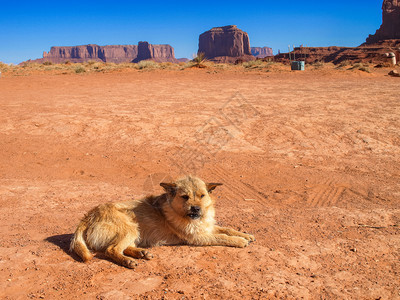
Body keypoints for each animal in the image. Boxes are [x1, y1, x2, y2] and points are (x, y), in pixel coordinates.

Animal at [70, 175, 255, 268]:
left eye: (202, 195)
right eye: (185, 197)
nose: (196, 209)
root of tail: (88, 216)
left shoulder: (207, 228)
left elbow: (227, 229)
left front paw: (245, 234)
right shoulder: (198, 238)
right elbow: (223, 237)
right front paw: (240, 241)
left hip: (134, 232)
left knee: (120, 247)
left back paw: (141, 253)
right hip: (130, 228)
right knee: (111, 249)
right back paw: (128, 261)